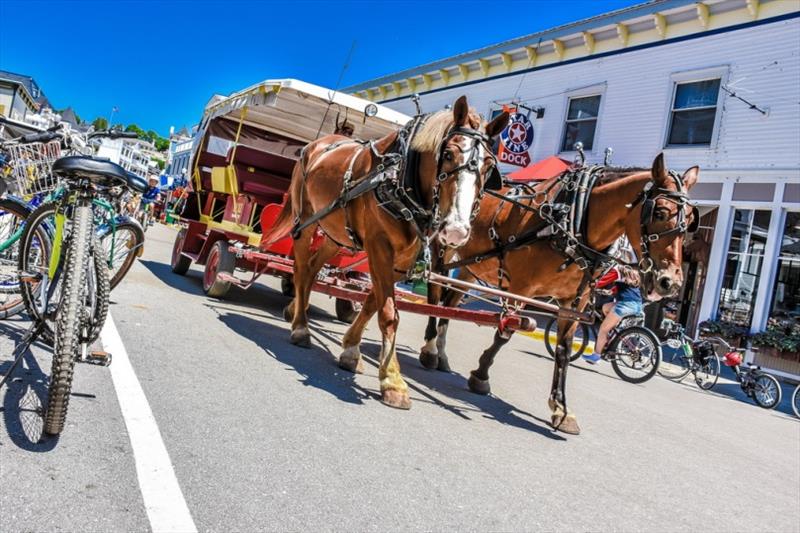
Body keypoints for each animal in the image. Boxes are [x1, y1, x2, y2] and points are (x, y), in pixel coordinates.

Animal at [266, 96, 510, 408]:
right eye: (448, 154)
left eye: (489, 166)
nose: (456, 230)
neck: (402, 177)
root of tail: (317, 145)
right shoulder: (380, 246)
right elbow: (389, 313)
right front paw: (393, 380)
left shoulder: (402, 258)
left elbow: (373, 303)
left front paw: (351, 350)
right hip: (305, 220)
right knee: (299, 268)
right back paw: (300, 327)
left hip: (336, 235)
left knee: (310, 269)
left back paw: (296, 310)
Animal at [422, 154, 696, 432]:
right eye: (660, 212)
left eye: (691, 219)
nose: (670, 282)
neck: (572, 221)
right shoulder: (521, 288)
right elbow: (505, 332)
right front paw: (480, 375)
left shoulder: (574, 303)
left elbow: (563, 351)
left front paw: (561, 409)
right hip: (443, 251)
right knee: (434, 293)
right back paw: (431, 351)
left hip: (469, 267)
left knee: (450, 304)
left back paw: (442, 355)